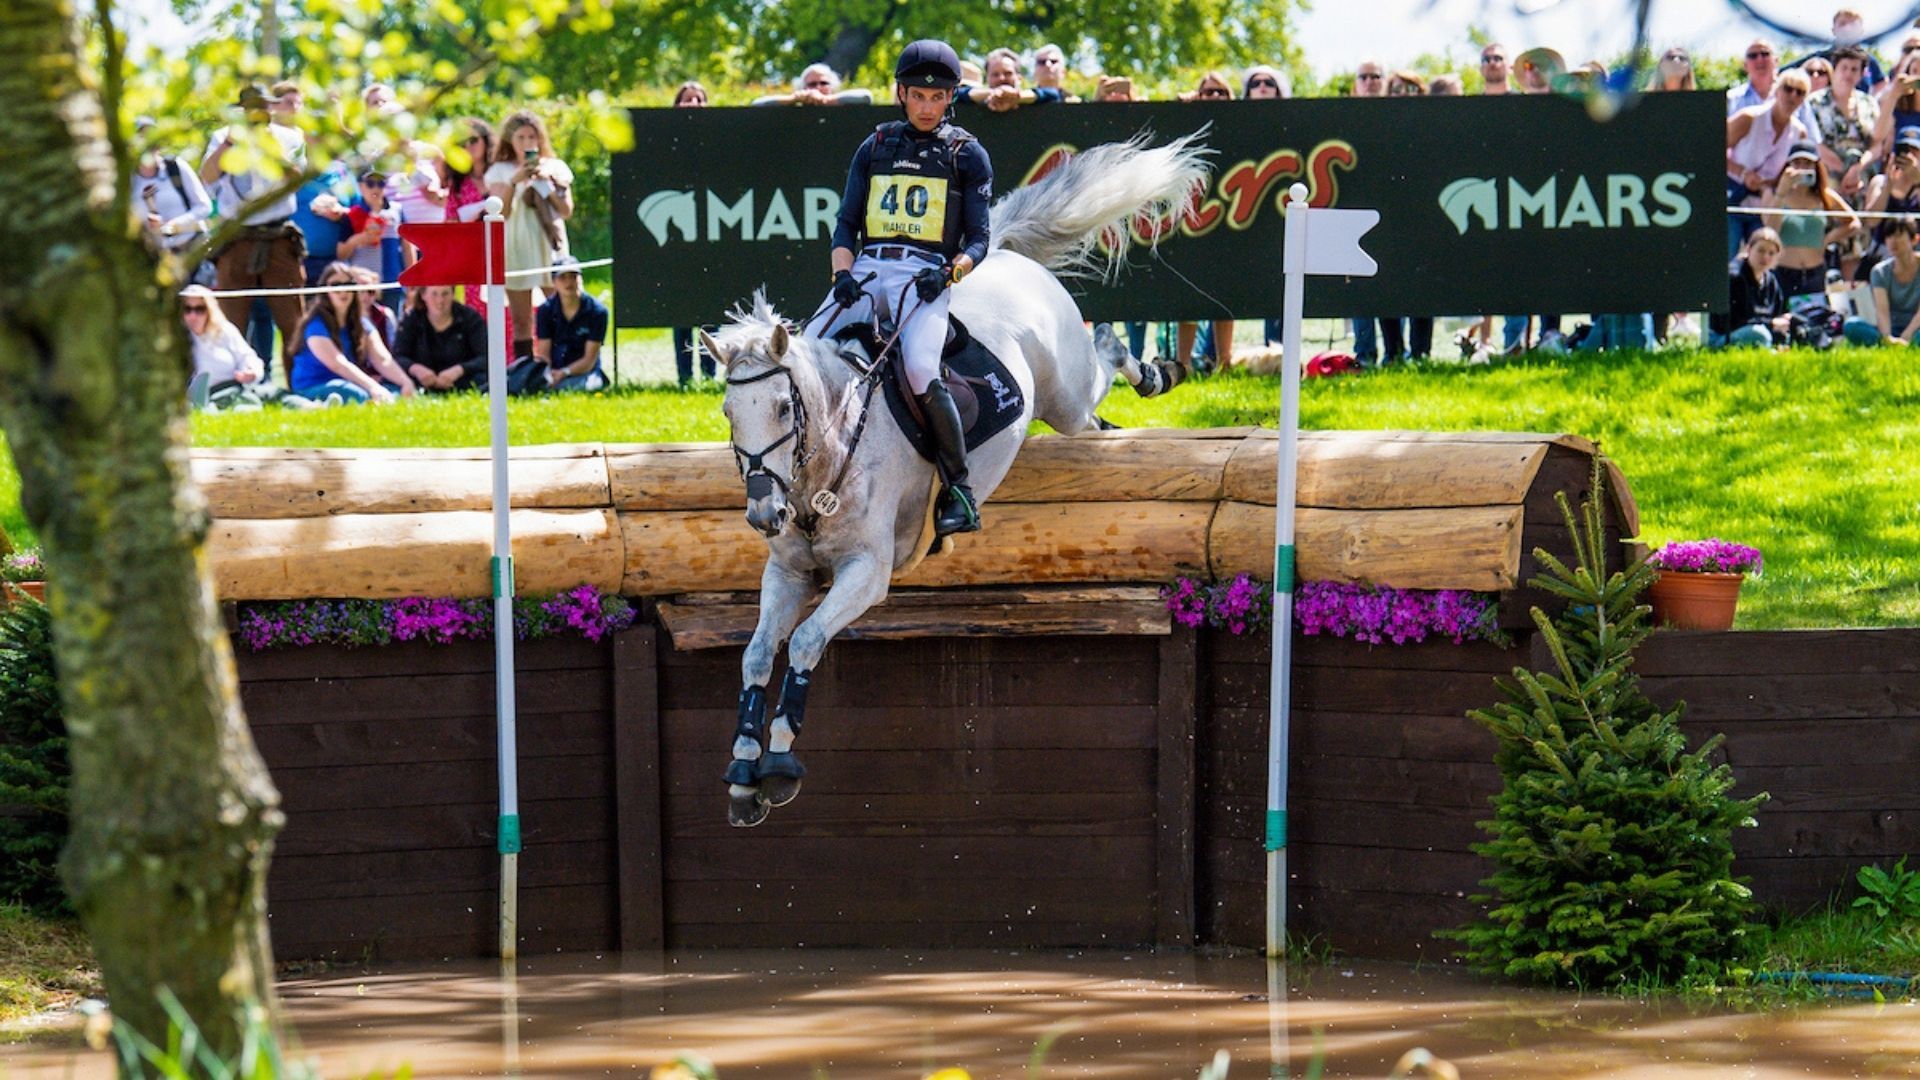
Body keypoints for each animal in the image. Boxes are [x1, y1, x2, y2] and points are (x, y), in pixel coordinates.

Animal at [698, 134, 1209, 827]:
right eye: (729, 414)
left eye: (783, 408)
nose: (761, 514)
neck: (822, 470)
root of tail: (1009, 261)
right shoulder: (787, 572)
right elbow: (756, 654)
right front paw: (744, 769)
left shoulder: (868, 572)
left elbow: (804, 642)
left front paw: (777, 764)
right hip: (1069, 409)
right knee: (1097, 413)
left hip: (1064, 395)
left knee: (1101, 358)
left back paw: (1156, 369)